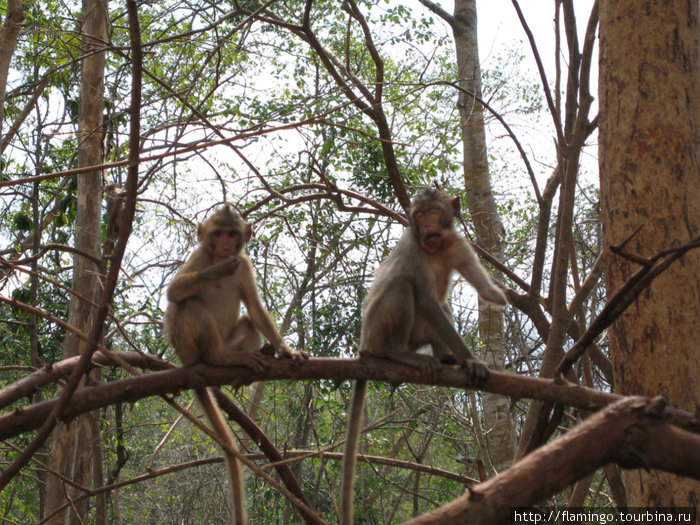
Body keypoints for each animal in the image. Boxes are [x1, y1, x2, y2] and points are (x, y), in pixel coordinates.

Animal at [165, 203, 308, 520]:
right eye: (218, 233)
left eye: (232, 233)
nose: (225, 246)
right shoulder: (200, 256)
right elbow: (175, 291)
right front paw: (217, 270)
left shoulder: (244, 263)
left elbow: (254, 308)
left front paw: (285, 350)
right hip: (188, 347)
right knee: (187, 303)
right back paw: (218, 357)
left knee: (247, 323)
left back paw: (246, 366)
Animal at [338, 186, 504, 520]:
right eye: (420, 215)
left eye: (433, 213)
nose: (427, 226)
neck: (435, 249)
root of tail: (364, 344)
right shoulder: (414, 253)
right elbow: (427, 300)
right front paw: (471, 358)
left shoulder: (458, 243)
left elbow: (480, 288)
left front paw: (503, 294)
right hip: (377, 331)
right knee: (403, 287)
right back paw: (400, 354)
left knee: (443, 307)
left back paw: (445, 358)